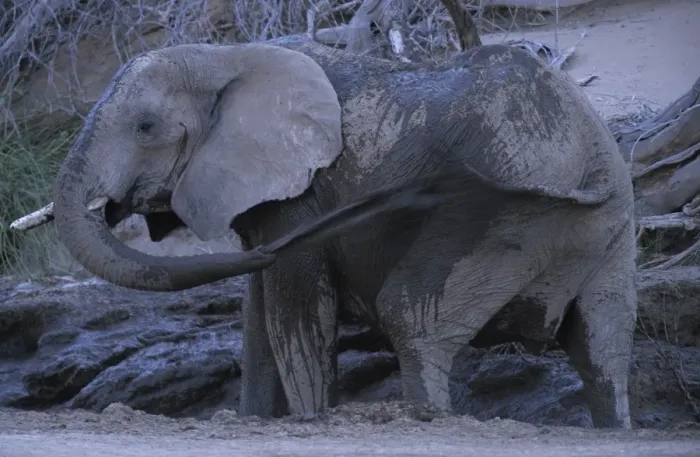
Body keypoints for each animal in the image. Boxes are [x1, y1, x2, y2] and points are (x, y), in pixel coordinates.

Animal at [50, 36, 637, 428]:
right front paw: (257, 421)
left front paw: (310, 420)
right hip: (603, 232)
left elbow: (294, 309)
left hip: (506, 220)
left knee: (411, 318)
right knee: (603, 348)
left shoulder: (300, 195)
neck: (223, 56)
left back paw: (426, 420)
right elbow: (258, 315)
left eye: (145, 127)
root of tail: (592, 159)